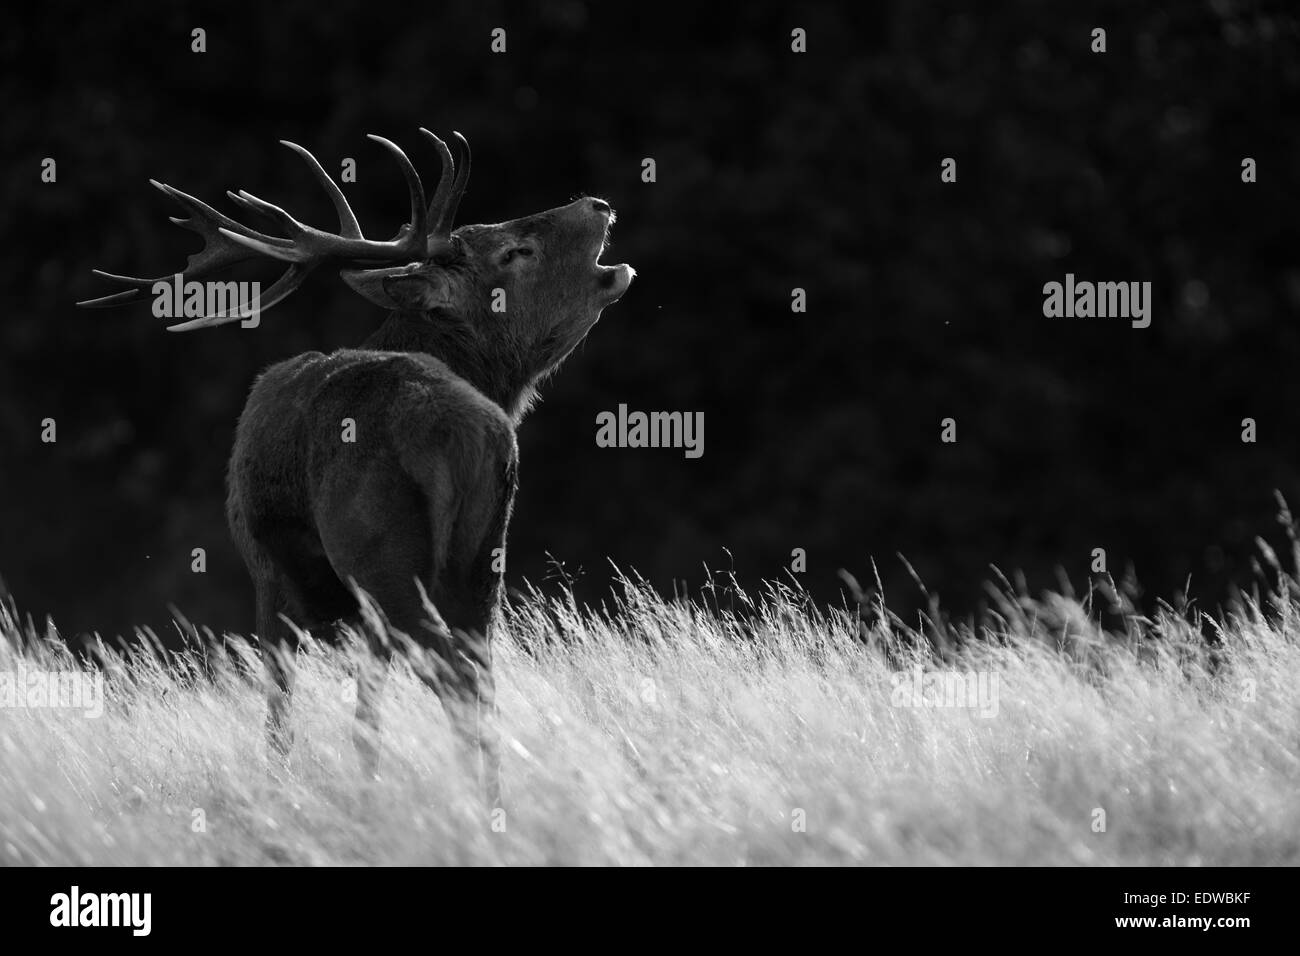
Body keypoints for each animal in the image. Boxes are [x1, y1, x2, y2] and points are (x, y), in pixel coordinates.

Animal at [78, 129, 635, 803]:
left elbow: (280, 709)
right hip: (483, 562)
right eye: (515, 250)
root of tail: (461, 430)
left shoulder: (266, 569)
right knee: (480, 677)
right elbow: (365, 712)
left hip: (382, 557)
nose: (599, 204)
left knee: (452, 676)